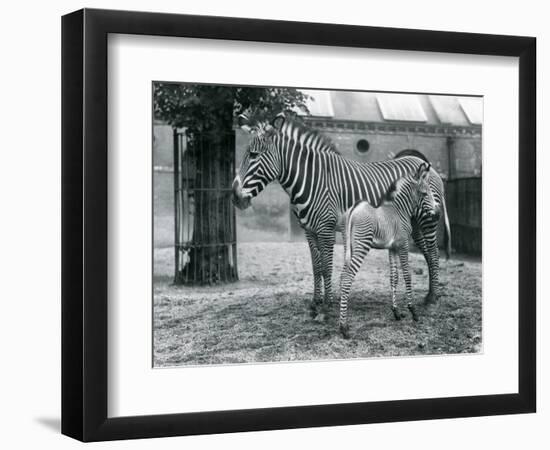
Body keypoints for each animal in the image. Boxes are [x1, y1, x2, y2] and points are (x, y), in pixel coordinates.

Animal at [233, 113, 452, 320]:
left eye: (254, 155)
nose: (235, 197)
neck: (311, 180)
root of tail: (426, 165)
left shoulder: (326, 228)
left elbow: (326, 267)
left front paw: (326, 307)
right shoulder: (309, 230)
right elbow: (316, 266)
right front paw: (315, 303)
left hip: (427, 219)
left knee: (433, 252)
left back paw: (433, 298)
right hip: (412, 223)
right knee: (427, 252)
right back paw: (429, 294)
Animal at [338, 162, 438, 338]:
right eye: (425, 194)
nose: (437, 215)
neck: (400, 210)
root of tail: (354, 208)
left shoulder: (392, 248)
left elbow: (394, 277)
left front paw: (396, 312)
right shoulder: (403, 244)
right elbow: (407, 276)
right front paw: (413, 311)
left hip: (348, 247)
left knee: (343, 276)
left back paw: (340, 324)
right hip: (362, 245)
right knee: (348, 278)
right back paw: (344, 328)